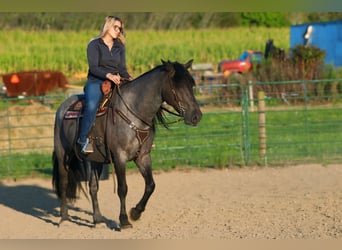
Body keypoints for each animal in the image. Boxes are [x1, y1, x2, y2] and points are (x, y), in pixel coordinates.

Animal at [51, 59, 202, 229]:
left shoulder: (143, 157)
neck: (134, 112)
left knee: (93, 187)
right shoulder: (120, 157)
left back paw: (98, 220)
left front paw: (135, 213)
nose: (196, 116)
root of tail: (63, 107)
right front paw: (124, 220)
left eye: (191, 84)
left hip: (94, 160)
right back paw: (64, 219)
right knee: (63, 183)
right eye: (177, 86)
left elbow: (151, 185)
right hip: (63, 154)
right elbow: (123, 188)